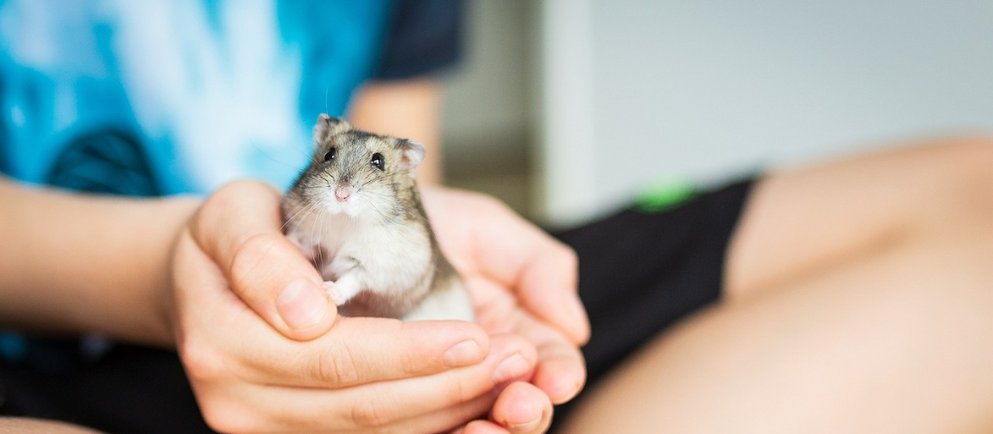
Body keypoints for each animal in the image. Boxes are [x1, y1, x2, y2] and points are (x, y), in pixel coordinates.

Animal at [281, 114, 474, 322]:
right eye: (329, 154)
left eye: (378, 161)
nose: (341, 195)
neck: (344, 219)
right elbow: (304, 243)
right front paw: (289, 241)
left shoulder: (377, 266)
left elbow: (353, 279)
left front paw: (329, 292)